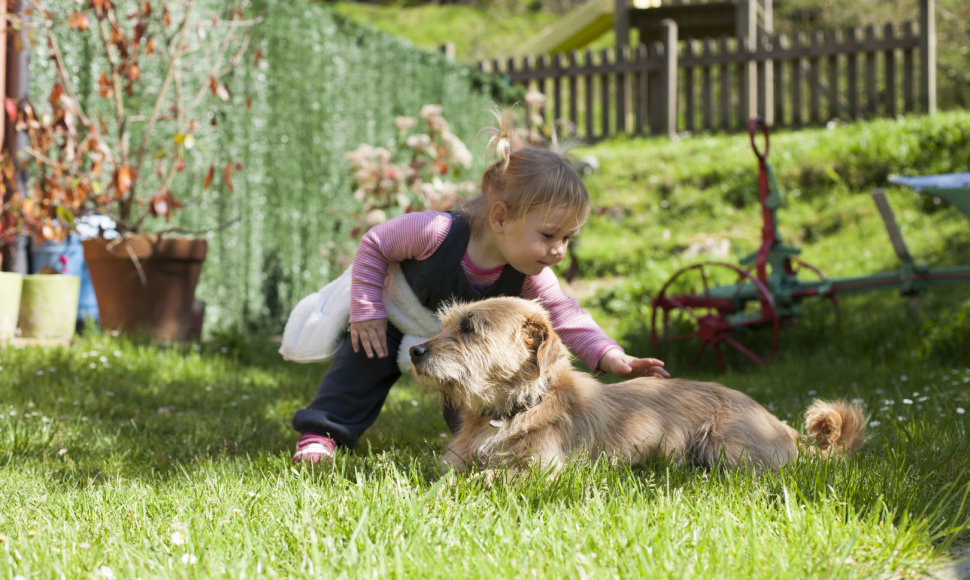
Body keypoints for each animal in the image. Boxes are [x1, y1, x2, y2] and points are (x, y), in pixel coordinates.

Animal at [406, 296, 864, 474]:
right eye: (448, 322)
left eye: (469, 328)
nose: (414, 351)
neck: (514, 409)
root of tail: (783, 427)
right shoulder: (455, 462)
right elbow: (447, 476)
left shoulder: (539, 471)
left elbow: (487, 479)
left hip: (728, 447)